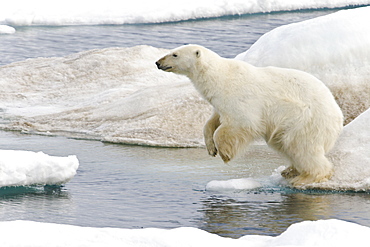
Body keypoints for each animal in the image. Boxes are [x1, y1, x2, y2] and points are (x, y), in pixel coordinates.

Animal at [155, 45, 342, 186]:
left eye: (175, 54)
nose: (157, 62)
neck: (219, 78)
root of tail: (338, 117)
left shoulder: (240, 98)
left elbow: (239, 123)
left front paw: (225, 153)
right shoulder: (220, 102)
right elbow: (212, 122)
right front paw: (210, 148)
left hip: (305, 120)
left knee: (302, 147)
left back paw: (304, 177)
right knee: (285, 145)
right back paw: (289, 170)